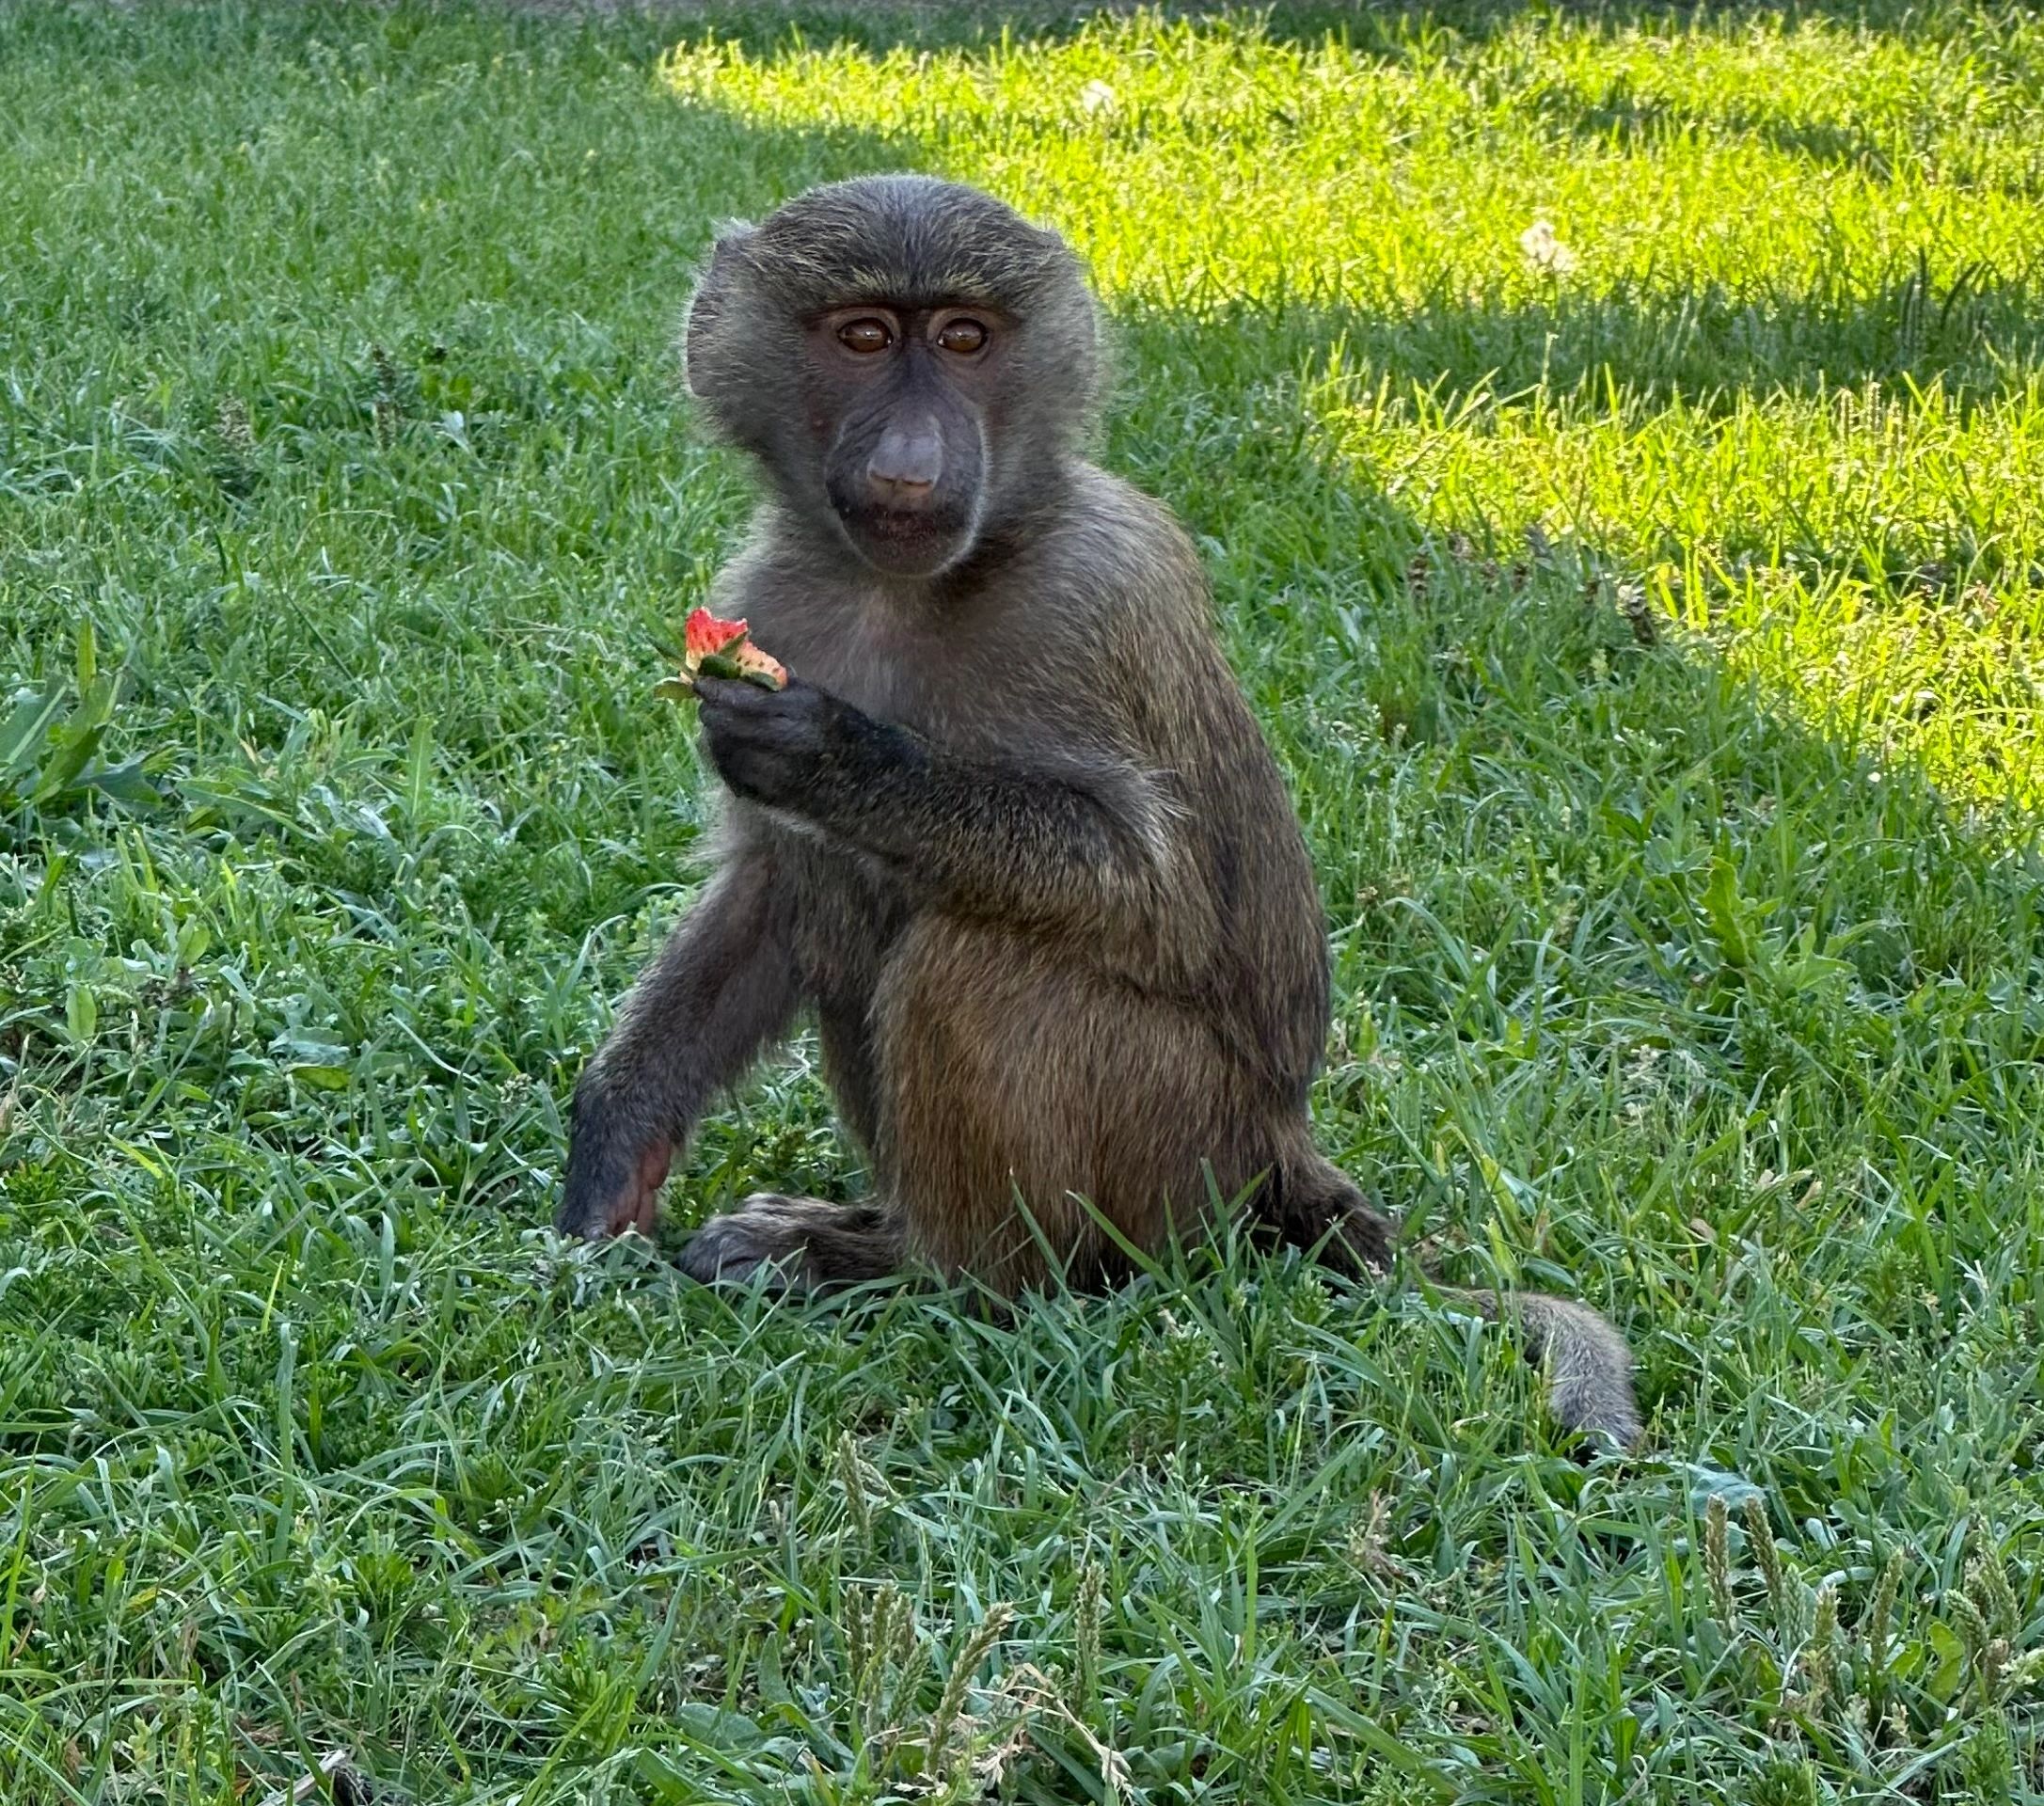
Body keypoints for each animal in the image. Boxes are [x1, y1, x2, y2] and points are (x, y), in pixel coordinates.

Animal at [555, 174, 1642, 1451]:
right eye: (864, 336)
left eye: (964, 338)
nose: (914, 466)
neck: (911, 586)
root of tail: (1280, 1150)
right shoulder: (766, 599)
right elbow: (769, 897)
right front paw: (614, 1145)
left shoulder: (1095, 597)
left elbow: (1152, 891)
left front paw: (838, 755)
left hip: (1182, 1152)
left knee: (973, 961)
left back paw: (922, 1272)